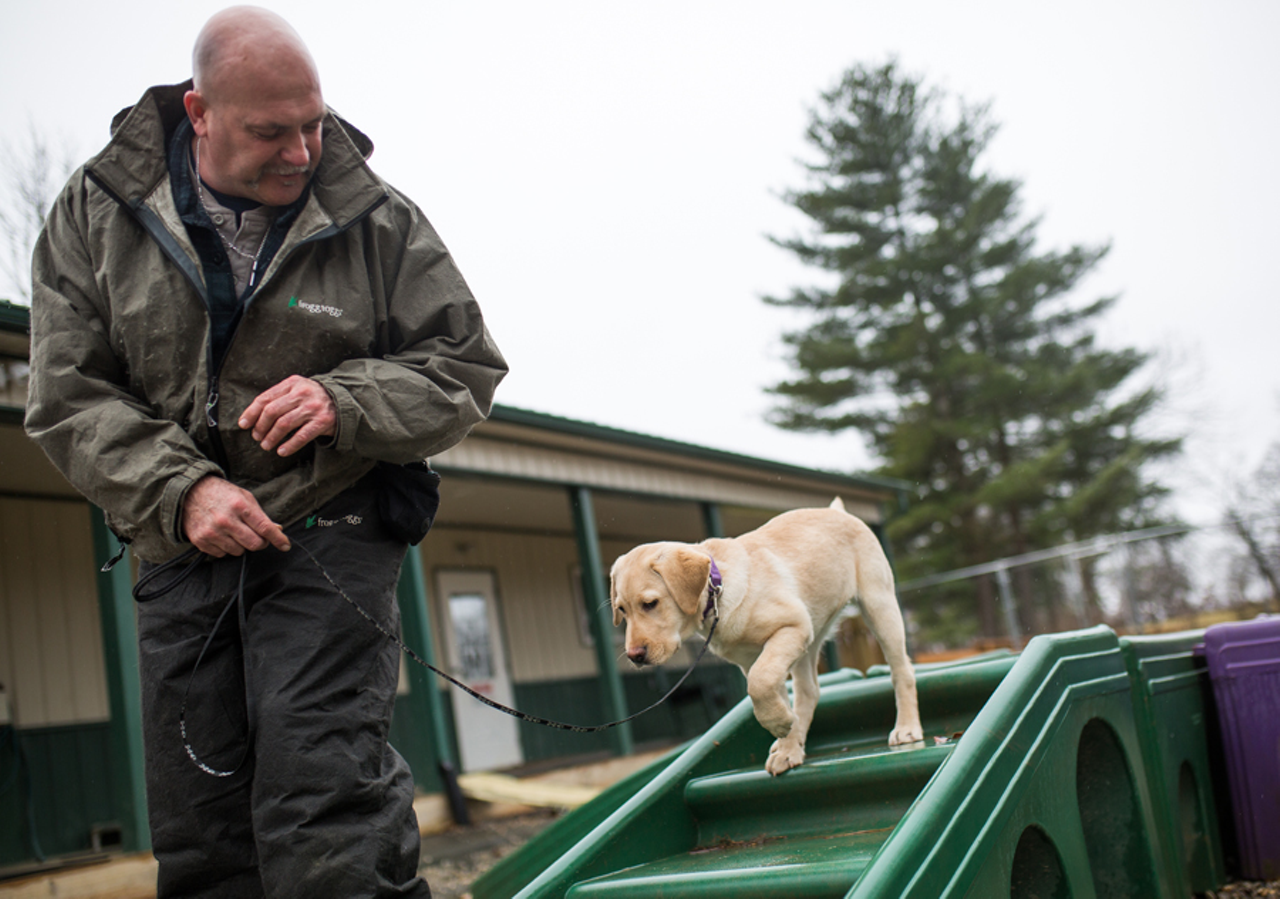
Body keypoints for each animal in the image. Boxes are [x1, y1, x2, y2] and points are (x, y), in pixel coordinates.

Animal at [609, 499, 921, 773]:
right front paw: (786, 742)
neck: (718, 591)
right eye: (621, 610)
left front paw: (780, 725)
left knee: (901, 670)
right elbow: (768, 689)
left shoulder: (789, 630)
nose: (634, 656)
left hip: (878, 606)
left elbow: (759, 684)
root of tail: (837, 511)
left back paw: (906, 728)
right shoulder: (755, 658)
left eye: (650, 603)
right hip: (811, 635)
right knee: (809, 691)